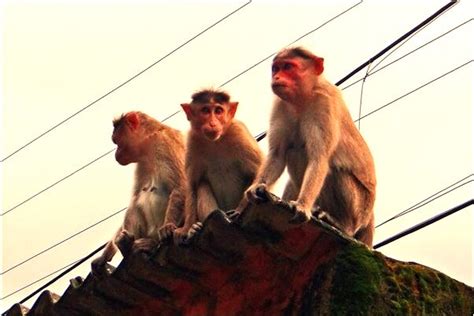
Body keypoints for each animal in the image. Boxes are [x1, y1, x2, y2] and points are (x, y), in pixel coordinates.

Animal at [90, 110, 185, 272]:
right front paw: (104, 255)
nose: (116, 154)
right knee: (135, 202)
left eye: (117, 141)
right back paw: (129, 247)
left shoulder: (164, 143)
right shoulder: (141, 162)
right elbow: (136, 196)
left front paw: (168, 226)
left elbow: (181, 185)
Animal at [173, 89, 262, 244]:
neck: (215, 141)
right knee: (202, 185)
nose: (213, 123)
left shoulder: (239, 131)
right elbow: (192, 185)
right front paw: (187, 229)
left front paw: (241, 209)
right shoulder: (192, 140)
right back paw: (197, 227)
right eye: (205, 110)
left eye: (218, 111)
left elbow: (260, 168)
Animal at [246, 47, 376, 247]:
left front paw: (302, 206)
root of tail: (369, 218)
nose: (276, 77)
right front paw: (255, 188)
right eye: (276, 68)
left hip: (360, 208)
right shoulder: (280, 105)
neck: (303, 98)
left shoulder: (325, 104)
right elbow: (277, 155)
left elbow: (319, 158)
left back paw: (342, 225)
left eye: (288, 67)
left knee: (333, 170)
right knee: (295, 152)